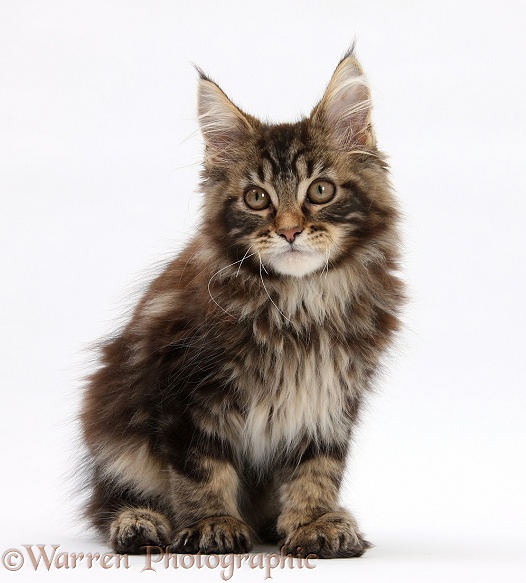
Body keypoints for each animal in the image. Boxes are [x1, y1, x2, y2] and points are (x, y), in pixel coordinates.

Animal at [80, 49, 406, 560]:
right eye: (257, 198)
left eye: (321, 190)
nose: (289, 230)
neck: (301, 301)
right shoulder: (186, 391)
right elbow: (201, 468)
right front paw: (212, 524)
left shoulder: (329, 396)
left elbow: (317, 467)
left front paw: (313, 522)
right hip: (115, 431)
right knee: (110, 500)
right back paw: (140, 524)